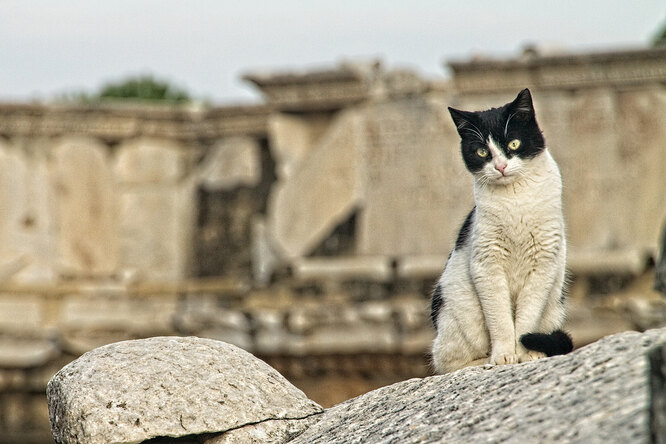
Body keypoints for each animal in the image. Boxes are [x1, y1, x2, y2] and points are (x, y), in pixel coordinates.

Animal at [430, 88, 572, 372]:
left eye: (514, 144)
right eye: (482, 152)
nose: (501, 167)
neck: (515, 199)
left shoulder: (543, 264)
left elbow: (526, 320)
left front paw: (526, 354)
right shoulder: (488, 265)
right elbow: (501, 320)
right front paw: (504, 356)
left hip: (554, 306)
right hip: (458, 313)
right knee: (447, 362)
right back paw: (483, 361)